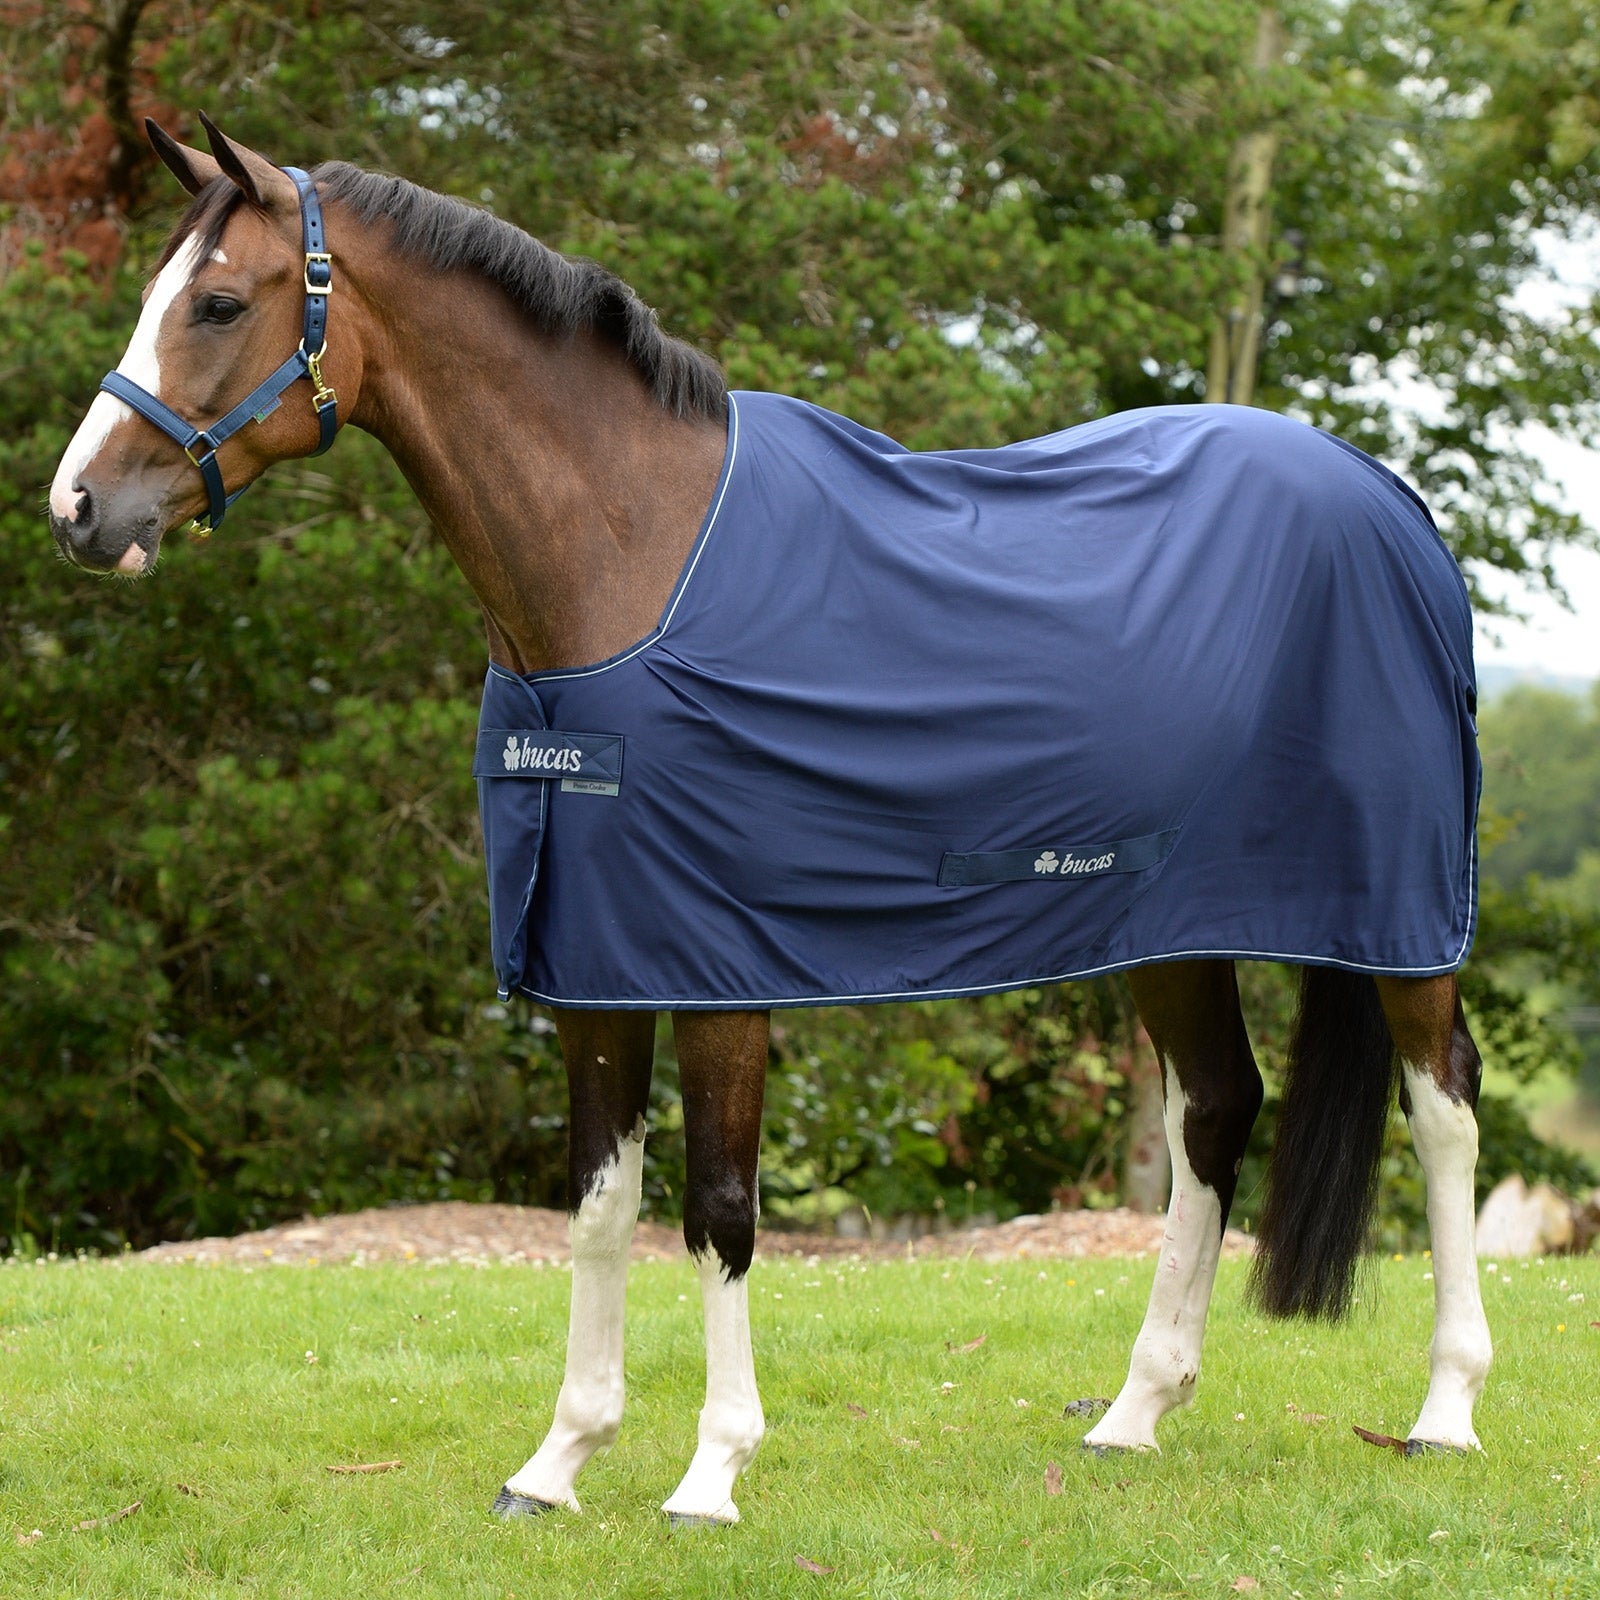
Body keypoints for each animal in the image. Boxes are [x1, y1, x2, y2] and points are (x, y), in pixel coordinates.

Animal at [48, 116, 1492, 1527]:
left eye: (220, 302)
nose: (77, 509)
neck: (627, 561)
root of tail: (1390, 503)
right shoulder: (594, 964)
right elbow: (599, 1206)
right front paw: (558, 1461)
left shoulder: (718, 968)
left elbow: (720, 1211)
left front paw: (711, 1472)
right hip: (1167, 921)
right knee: (1215, 1111)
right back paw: (1136, 1412)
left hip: (1403, 916)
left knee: (1443, 1107)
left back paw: (1444, 1410)